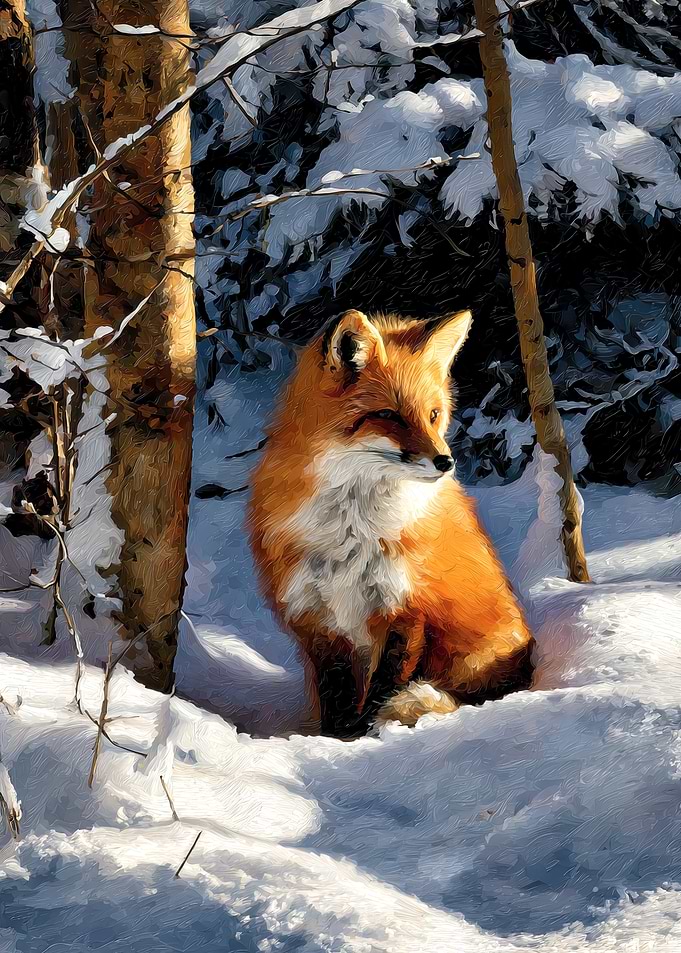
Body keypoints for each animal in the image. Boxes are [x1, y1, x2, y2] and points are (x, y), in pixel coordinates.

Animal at [248, 308, 534, 738]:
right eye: (389, 416)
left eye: (433, 415)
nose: (446, 462)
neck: (352, 528)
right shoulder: (315, 617)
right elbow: (336, 693)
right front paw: (334, 737)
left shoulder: (407, 609)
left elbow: (389, 684)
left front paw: (367, 735)